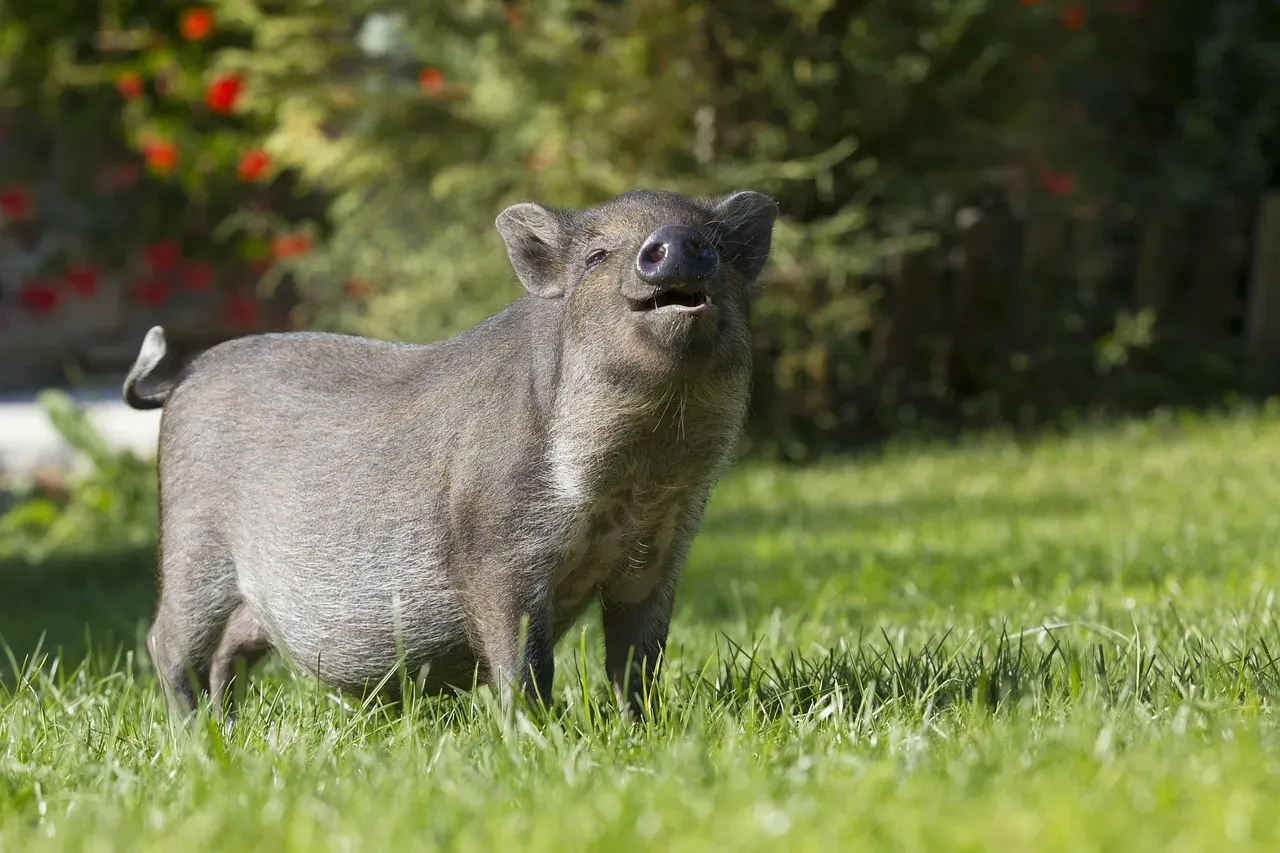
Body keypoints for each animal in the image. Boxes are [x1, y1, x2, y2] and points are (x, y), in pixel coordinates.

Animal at [123, 188, 778, 724]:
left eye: (715, 243)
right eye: (596, 256)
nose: (676, 243)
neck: (636, 480)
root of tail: (181, 378)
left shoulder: (658, 553)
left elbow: (638, 661)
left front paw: (640, 731)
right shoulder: (497, 552)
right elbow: (524, 662)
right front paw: (537, 736)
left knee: (229, 650)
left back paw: (227, 729)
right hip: (193, 545)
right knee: (166, 641)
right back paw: (196, 735)